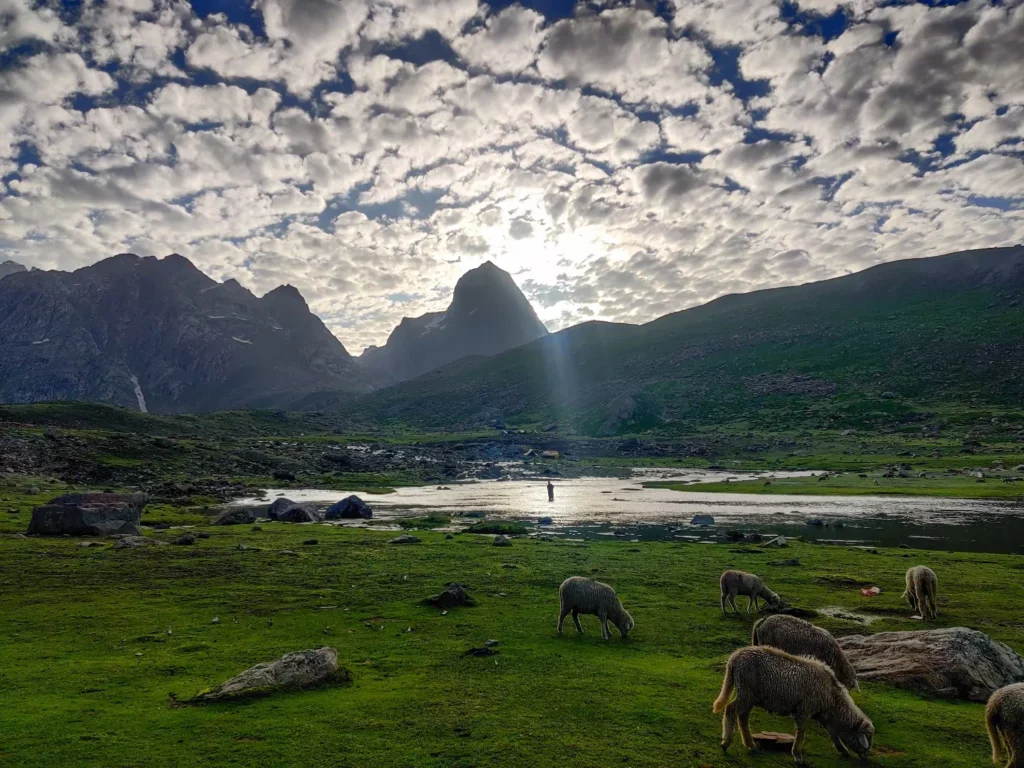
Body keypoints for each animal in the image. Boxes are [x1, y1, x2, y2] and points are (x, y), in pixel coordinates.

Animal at [712, 647, 872, 765]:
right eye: (867, 739)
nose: (866, 757)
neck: (832, 699)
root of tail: (734, 658)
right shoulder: (805, 709)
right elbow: (801, 732)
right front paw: (797, 755)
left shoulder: (821, 715)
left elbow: (833, 734)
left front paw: (842, 750)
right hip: (746, 691)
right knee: (731, 710)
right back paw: (726, 742)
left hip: (750, 696)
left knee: (743, 717)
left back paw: (751, 745)